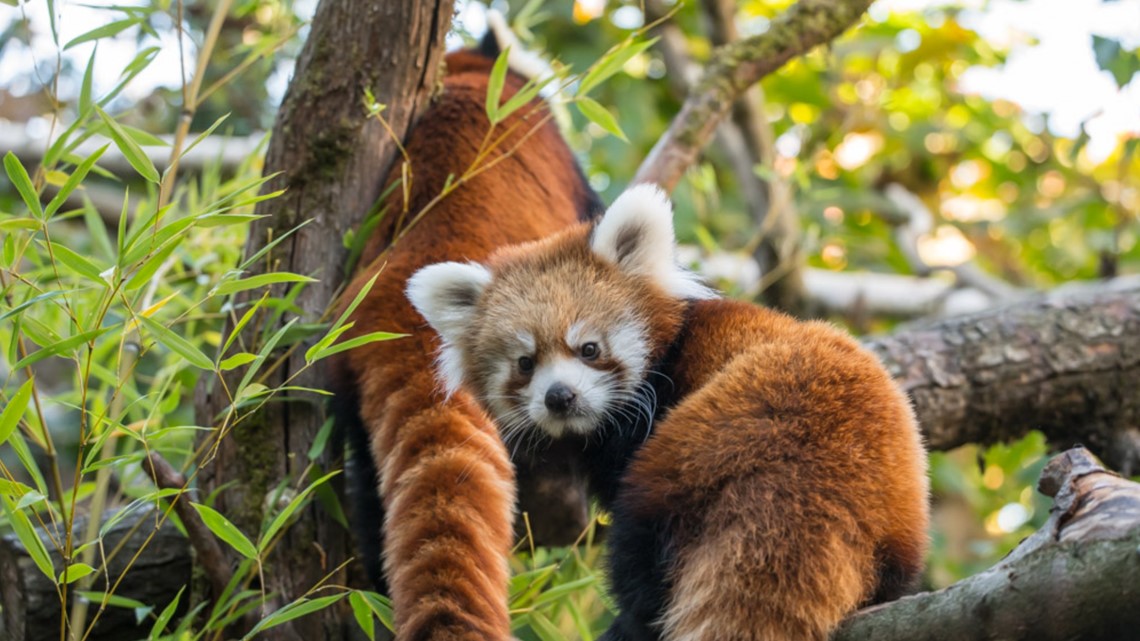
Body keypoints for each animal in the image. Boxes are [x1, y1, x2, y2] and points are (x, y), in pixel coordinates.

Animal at [405, 183, 930, 638]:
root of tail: (810, 475)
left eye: (589, 349)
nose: (560, 396)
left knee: (640, 544)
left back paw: (632, 622)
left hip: (691, 456)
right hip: (896, 521)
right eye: (525, 363)